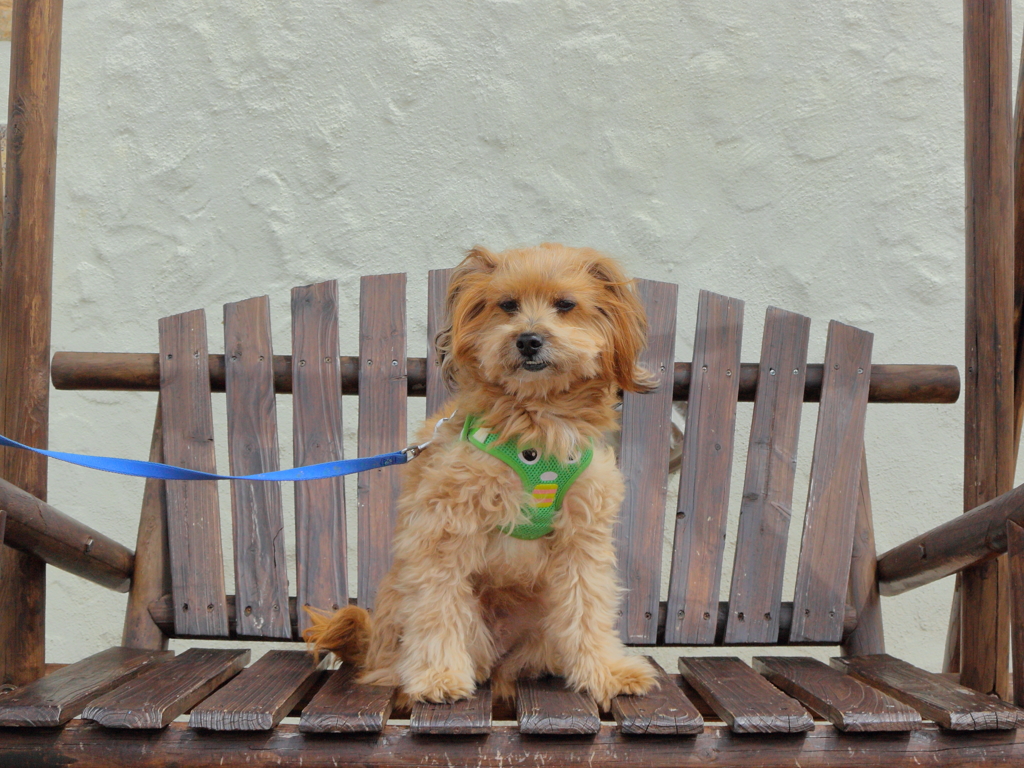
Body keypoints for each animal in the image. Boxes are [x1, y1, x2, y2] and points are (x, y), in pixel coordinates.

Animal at [303, 243, 655, 708]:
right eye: (507, 305)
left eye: (565, 305)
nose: (528, 340)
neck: (535, 427)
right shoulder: (443, 528)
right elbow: (437, 608)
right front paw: (438, 676)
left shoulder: (583, 537)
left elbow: (588, 606)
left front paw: (606, 671)